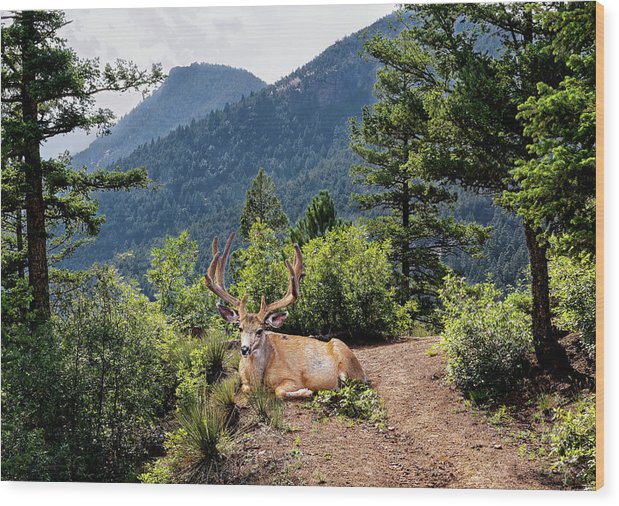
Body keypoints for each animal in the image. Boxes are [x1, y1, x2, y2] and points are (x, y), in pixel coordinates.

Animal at [203, 233, 368, 400]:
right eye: (240, 328)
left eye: (260, 330)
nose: (244, 349)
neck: (257, 378)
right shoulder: (244, 381)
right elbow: (246, 388)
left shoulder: (293, 378)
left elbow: (279, 391)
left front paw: (307, 391)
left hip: (345, 359)